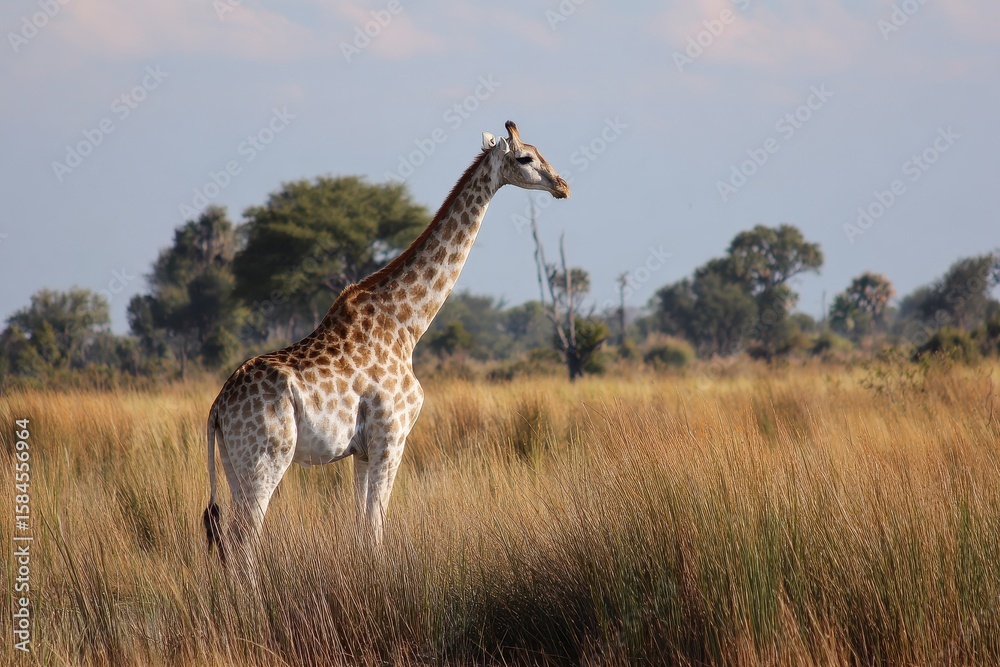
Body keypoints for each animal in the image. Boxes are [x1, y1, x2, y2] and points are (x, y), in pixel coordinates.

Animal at [203, 121, 570, 566]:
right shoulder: (391, 437)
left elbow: (362, 531)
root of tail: (217, 410)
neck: (407, 325)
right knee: (243, 539)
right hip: (266, 458)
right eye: (526, 158)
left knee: (228, 542)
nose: (563, 186)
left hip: (234, 464)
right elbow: (377, 530)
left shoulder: (362, 450)